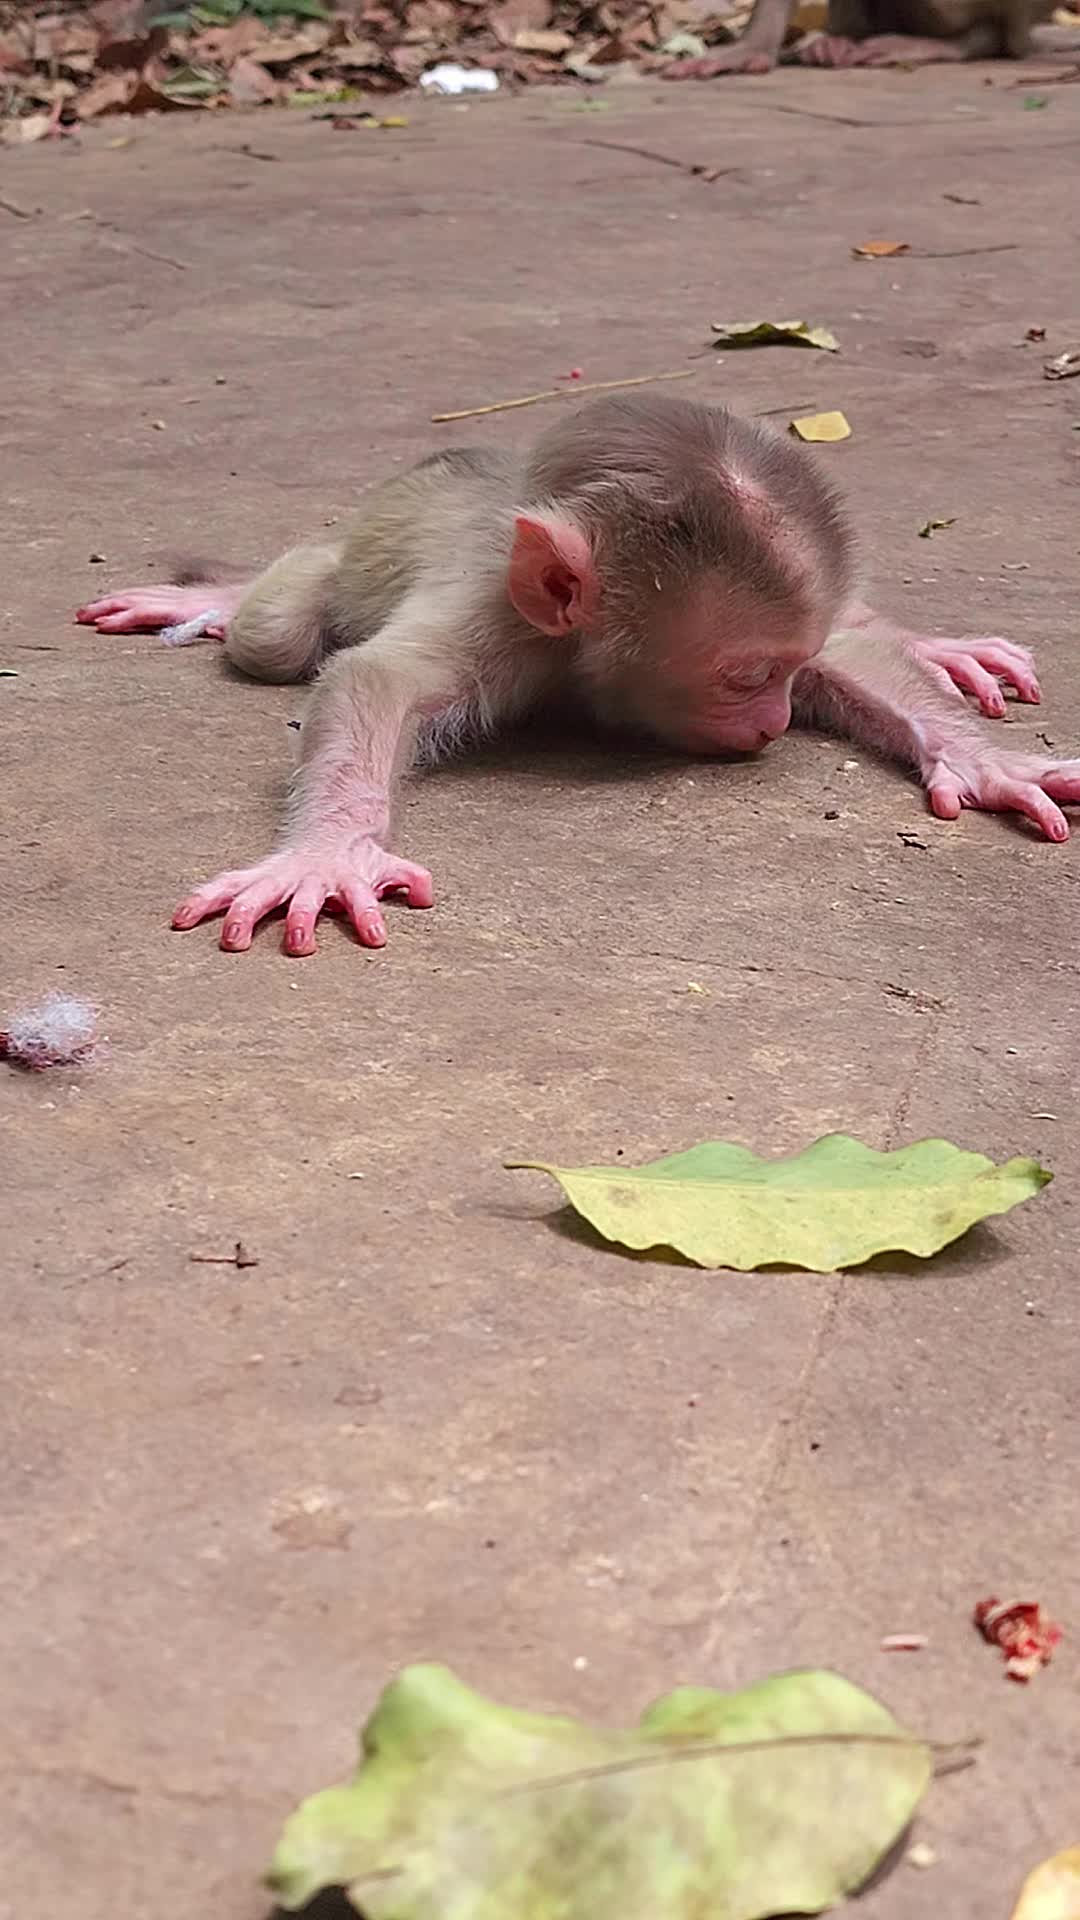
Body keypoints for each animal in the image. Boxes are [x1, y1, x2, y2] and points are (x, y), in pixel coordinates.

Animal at [76, 392, 1077, 959]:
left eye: (785, 675)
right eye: (744, 678)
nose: (774, 724)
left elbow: (851, 651)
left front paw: (985, 763)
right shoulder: (502, 619)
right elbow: (377, 678)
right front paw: (327, 853)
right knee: (279, 631)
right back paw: (228, 598)